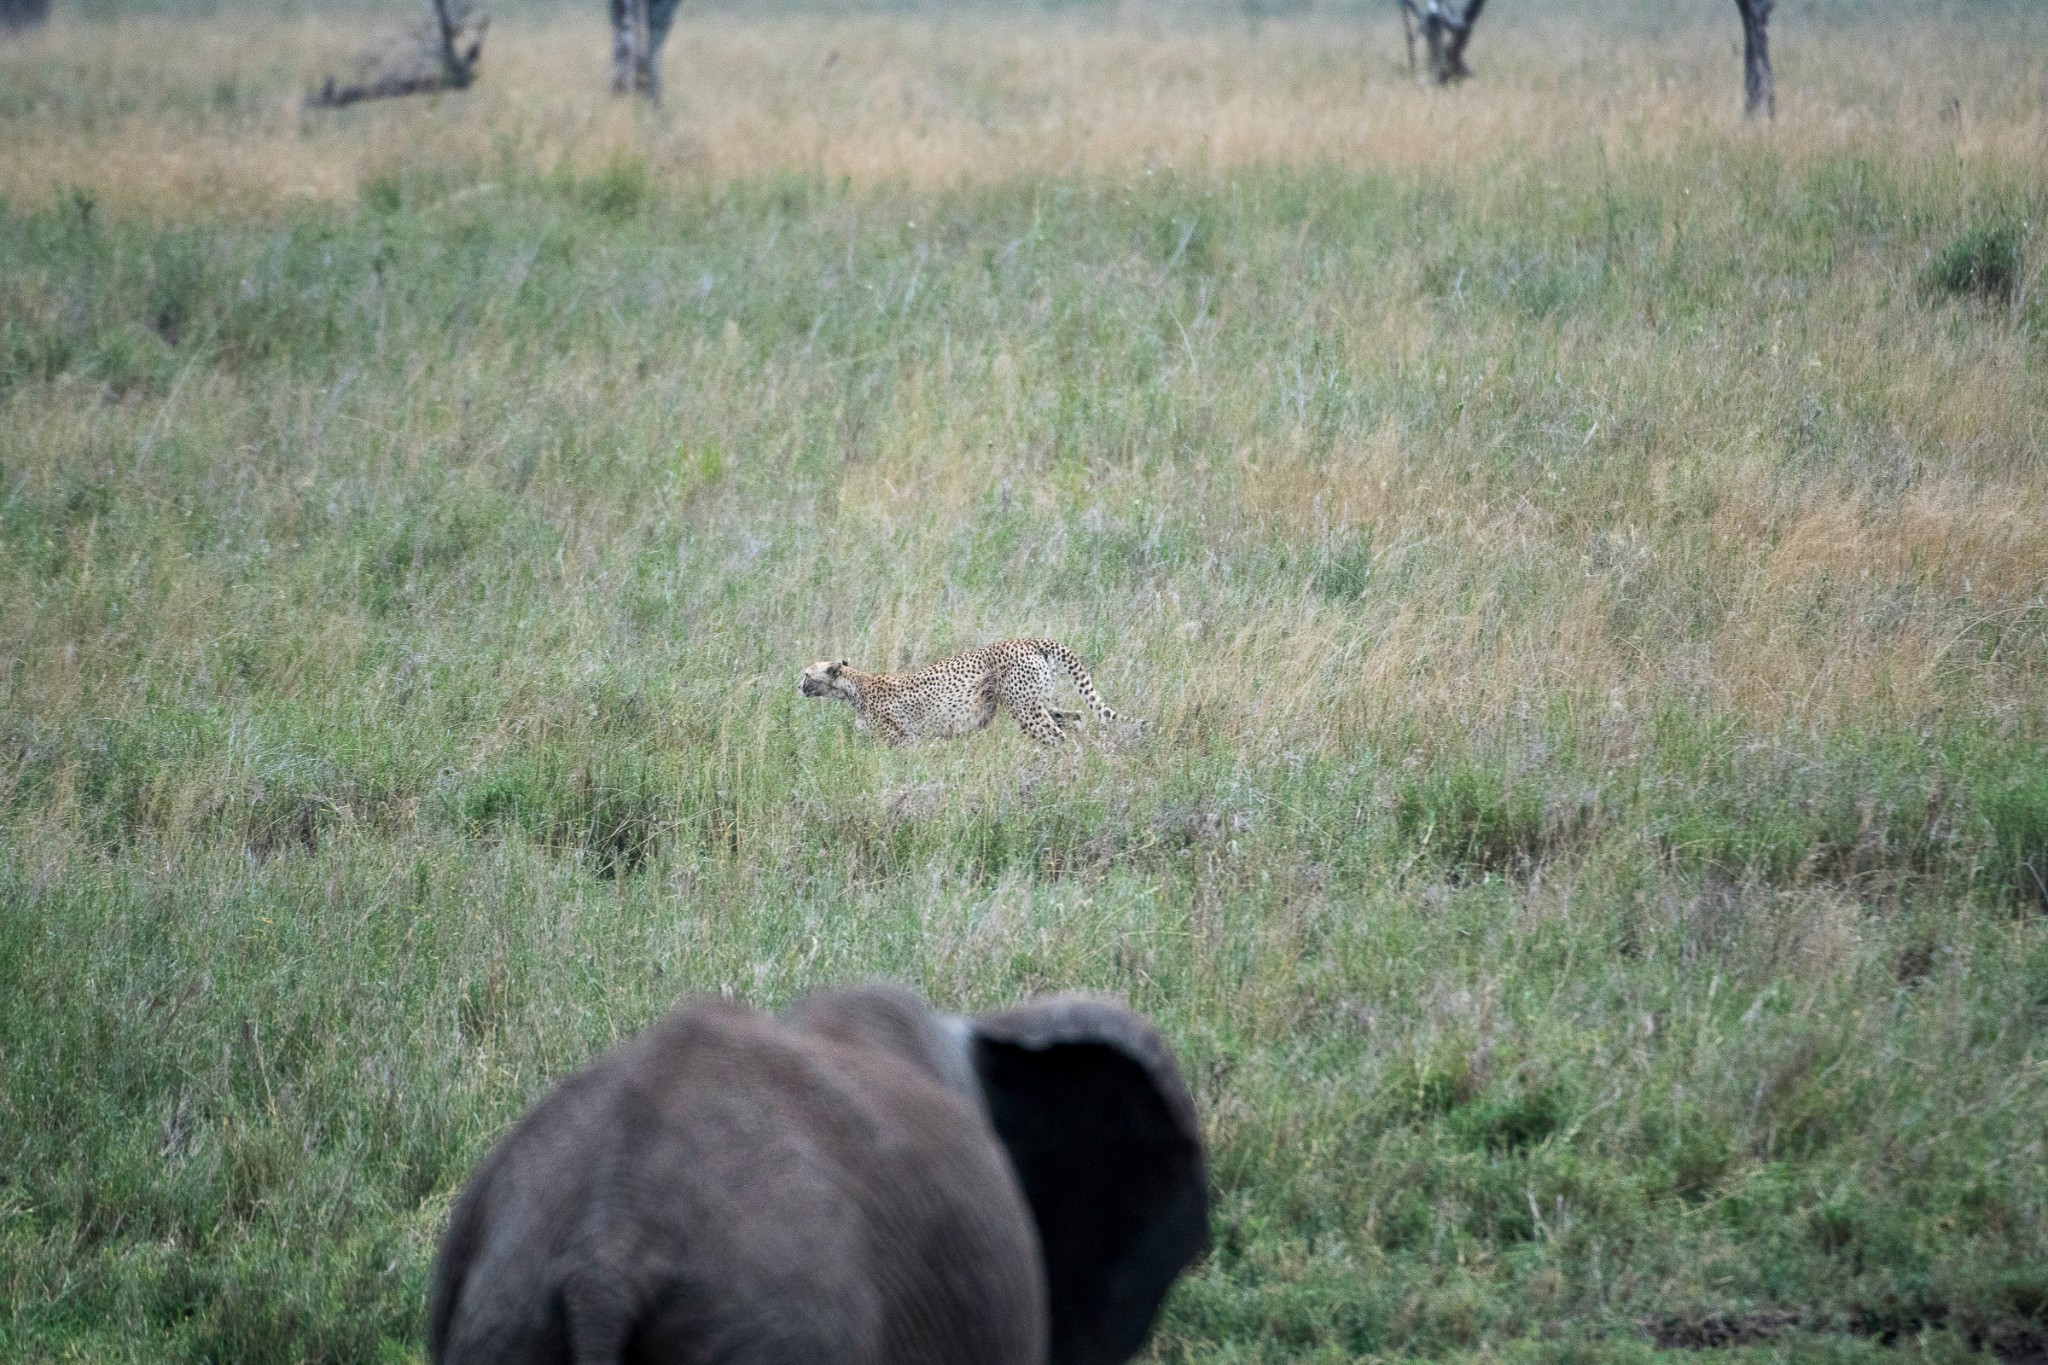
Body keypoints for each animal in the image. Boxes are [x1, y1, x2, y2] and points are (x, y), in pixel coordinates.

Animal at [798, 642, 1146, 749]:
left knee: (1058, 737)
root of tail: (1030, 640)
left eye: (806, 674)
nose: (798, 685)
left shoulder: (901, 738)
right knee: (1078, 717)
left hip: (1025, 710)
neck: (853, 687)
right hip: (1038, 703)